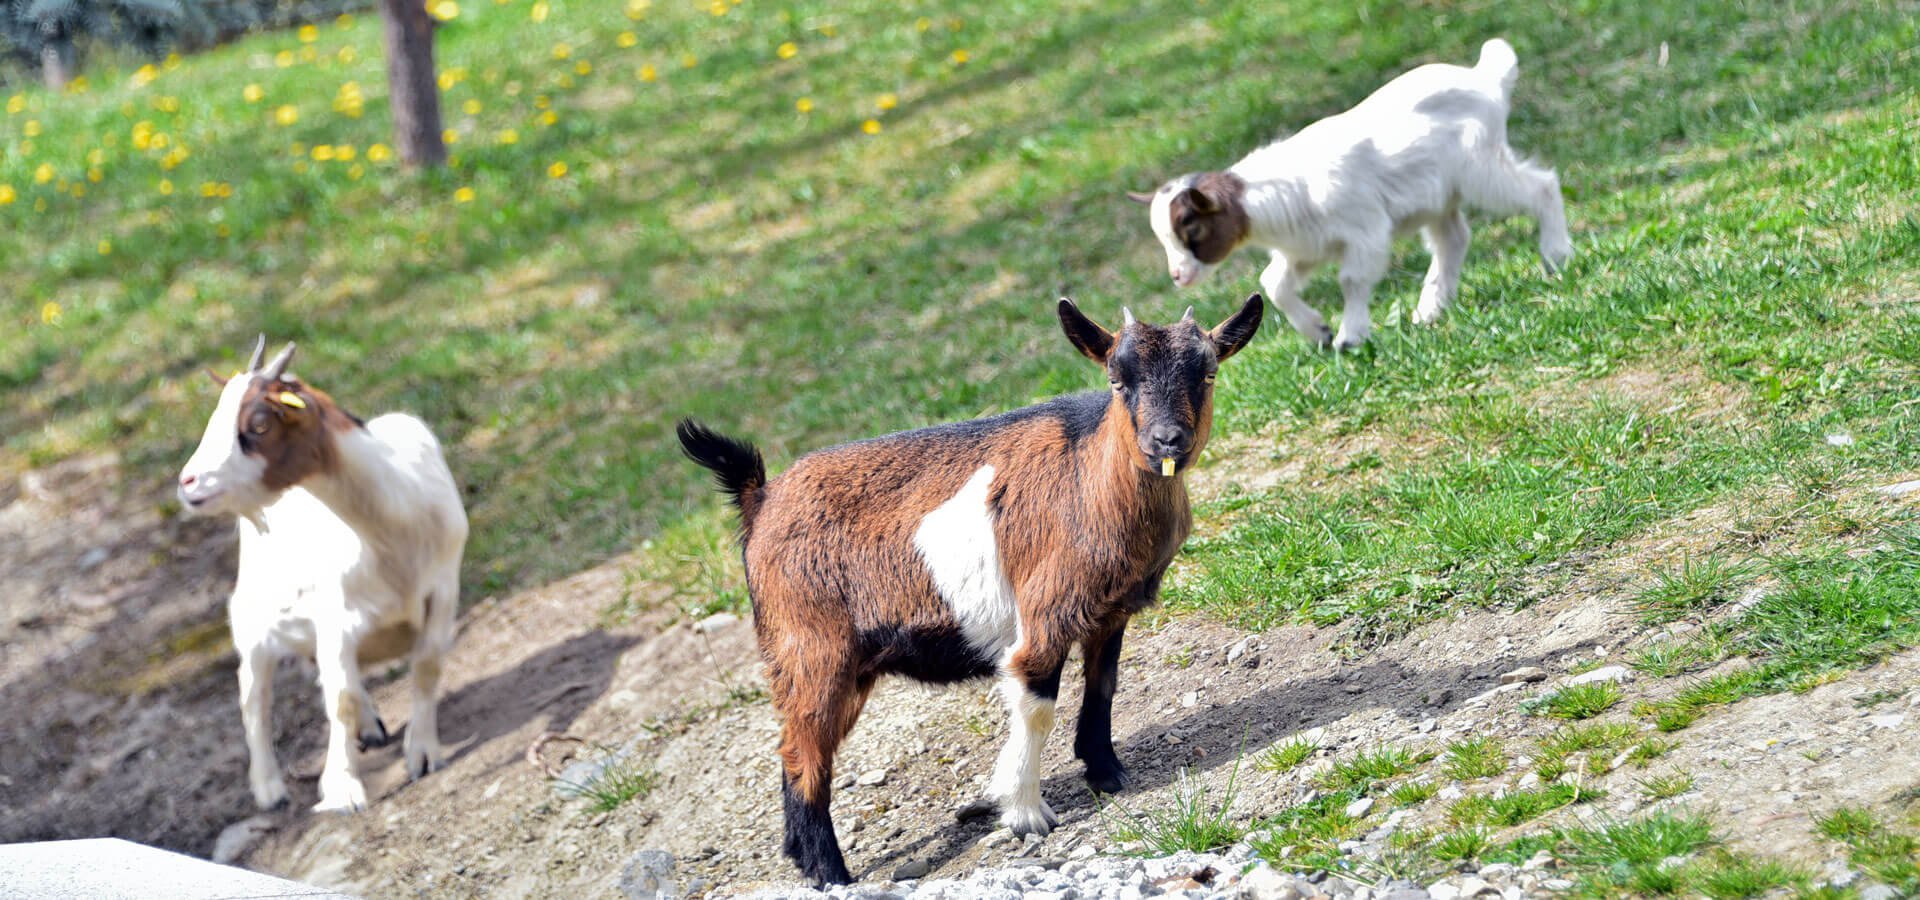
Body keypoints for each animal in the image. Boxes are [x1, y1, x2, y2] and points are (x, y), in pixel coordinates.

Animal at [178, 337, 466, 813]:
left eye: (259, 424)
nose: (188, 482)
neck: (390, 531)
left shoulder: (443, 588)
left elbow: (426, 665)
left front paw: (423, 753)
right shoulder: (336, 614)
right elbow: (340, 699)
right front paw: (342, 788)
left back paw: (369, 727)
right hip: (251, 619)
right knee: (253, 696)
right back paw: (268, 787)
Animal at [675, 295, 1259, 882]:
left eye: (1208, 372)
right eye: (1117, 380)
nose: (1167, 441)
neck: (1089, 477)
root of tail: (759, 497)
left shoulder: (1109, 611)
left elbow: (1104, 688)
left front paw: (1107, 774)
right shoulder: (1043, 618)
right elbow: (1037, 707)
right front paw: (1025, 813)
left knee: (793, 747)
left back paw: (805, 858)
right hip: (811, 648)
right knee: (804, 751)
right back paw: (830, 872)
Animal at [1128, 42, 1566, 351]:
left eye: (1191, 227)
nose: (1178, 276)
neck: (1284, 192)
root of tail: (1486, 79)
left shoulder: (1364, 230)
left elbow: (1352, 280)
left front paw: (1349, 337)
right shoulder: (1307, 247)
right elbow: (1274, 283)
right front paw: (1318, 331)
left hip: (1480, 167)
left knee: (1540, 186)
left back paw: (1556, 255)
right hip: (1437, 198)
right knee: (1452, 239)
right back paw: (1429, 310)